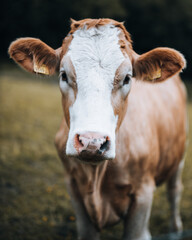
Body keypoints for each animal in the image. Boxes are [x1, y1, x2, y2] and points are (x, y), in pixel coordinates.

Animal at [8, 18, 187, 240]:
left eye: (127, 78)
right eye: (63, 75)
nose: (92, 142)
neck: (96, 177)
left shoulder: (143, 193)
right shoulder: (74, 189)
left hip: (179, 156)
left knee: (174, 191)